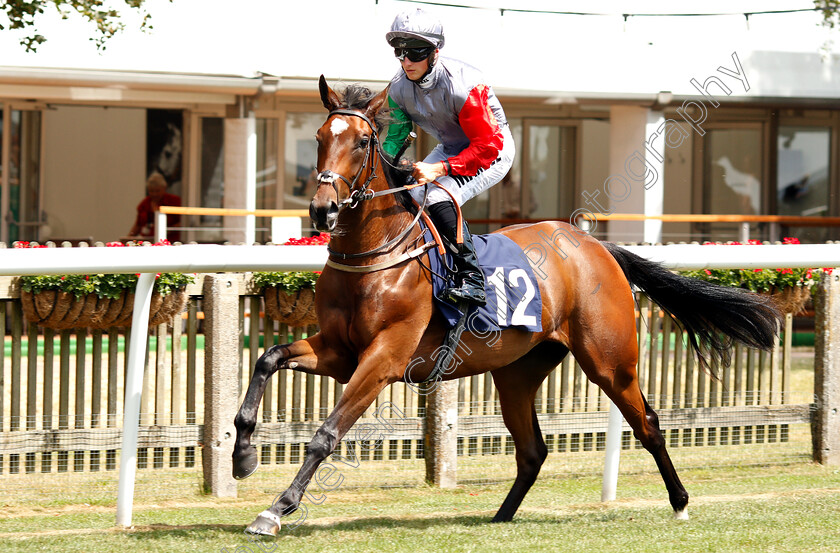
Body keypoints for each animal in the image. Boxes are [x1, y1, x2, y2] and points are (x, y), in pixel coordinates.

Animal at [231, 75, 780, 532]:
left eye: (362, 142)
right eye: (321, 137)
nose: (322, 210)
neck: (378, 254)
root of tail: (595, 246)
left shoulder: (383, 359)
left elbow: (326, 433)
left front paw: (275, 510)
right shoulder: (340, 352)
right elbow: (267, 358)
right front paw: (242, 455)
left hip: (611, 362)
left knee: (648, 425)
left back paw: (681, 502)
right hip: (516, 371)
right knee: (533, 450)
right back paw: (501, 515)